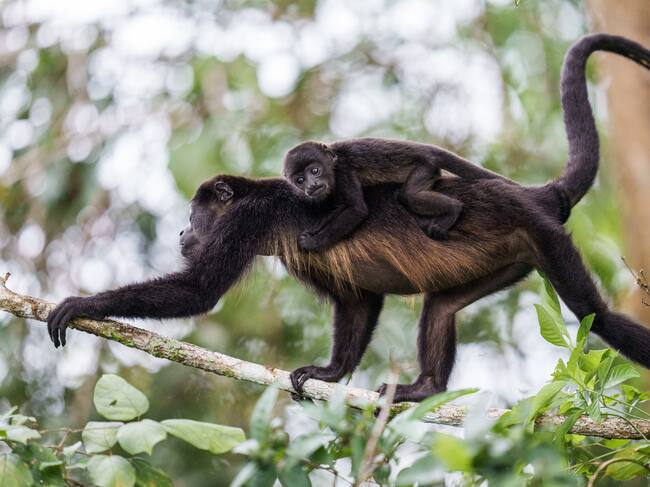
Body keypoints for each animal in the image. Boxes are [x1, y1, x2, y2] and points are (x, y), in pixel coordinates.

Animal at [283, 138, 506, 250]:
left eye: (315, 171)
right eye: (300, 180)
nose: (311, 185)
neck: (333, 161)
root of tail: (427, 149)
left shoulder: (344, 171)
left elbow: (356, 210)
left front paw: (314, 243)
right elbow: (339, 208)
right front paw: (315, 229)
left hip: (425, 166)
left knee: (408, 196)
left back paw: (453, 210)